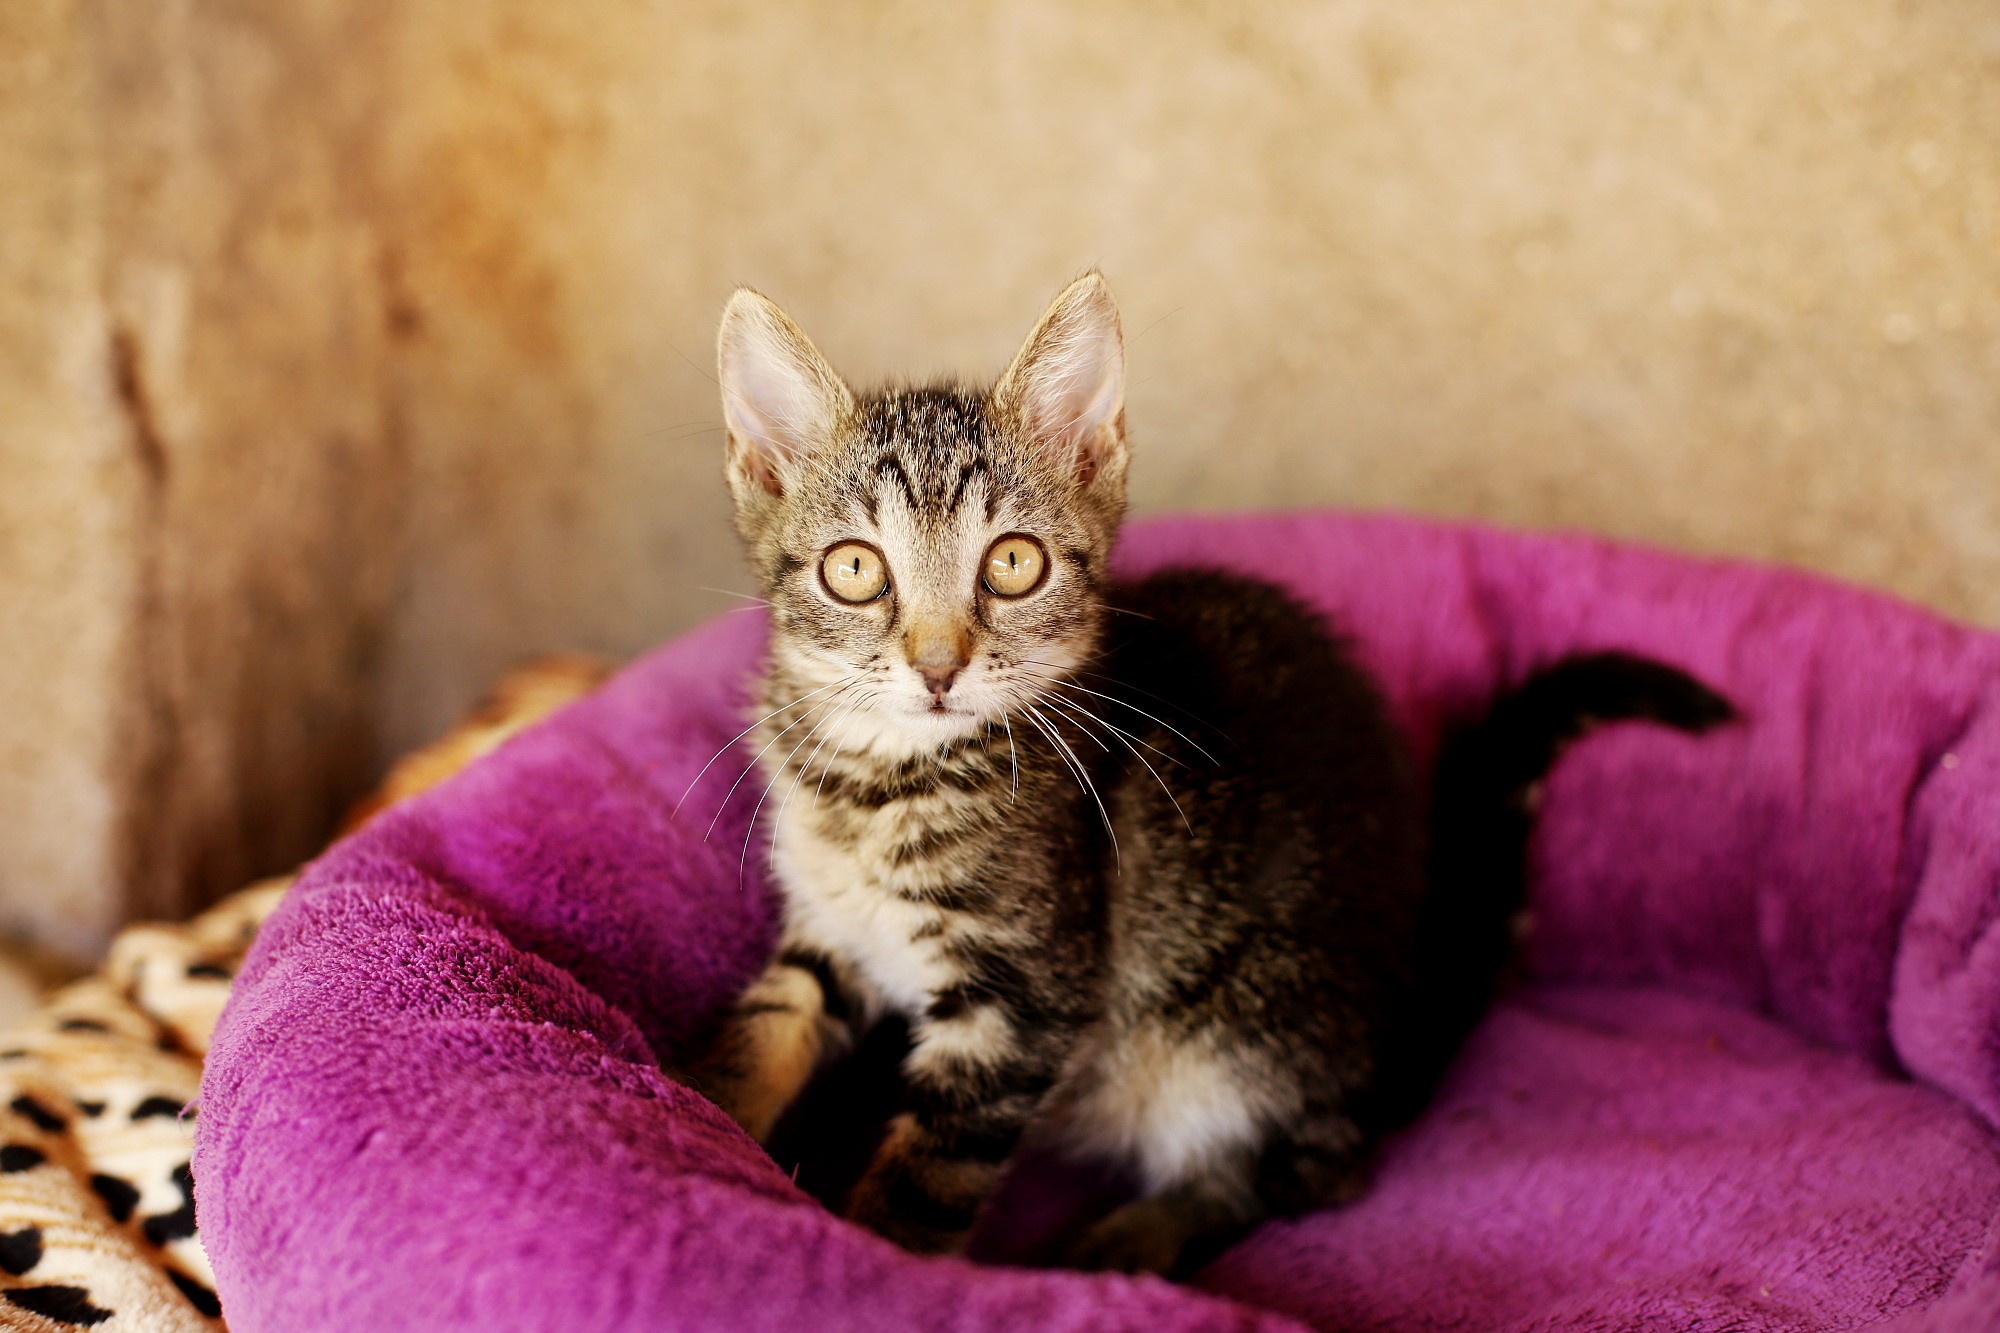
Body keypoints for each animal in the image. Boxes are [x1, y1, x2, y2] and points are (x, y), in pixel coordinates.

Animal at [687, 272, 1734, 1275]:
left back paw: (1136, 1241)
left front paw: (878, 1254)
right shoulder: (828, 929)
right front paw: (702, 1104)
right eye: (855, 570)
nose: (938, 667)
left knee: (1312, 1169)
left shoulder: (1025, 1001)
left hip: (1240, 1032)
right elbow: (771, 1018)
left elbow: (929, 1174)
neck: (875, 781)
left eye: (1014, 563)